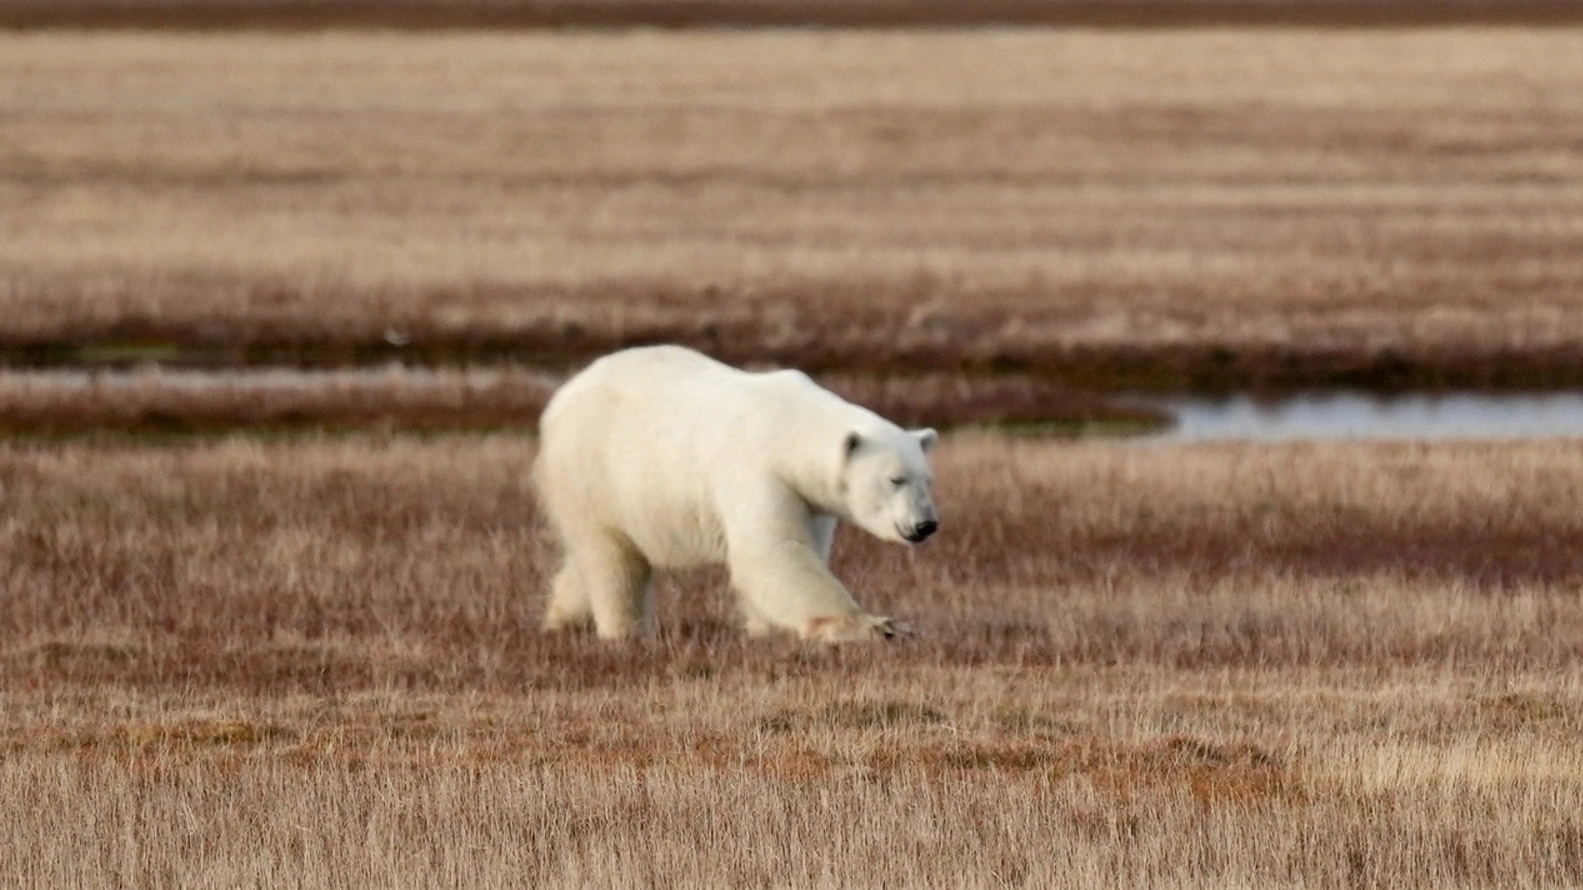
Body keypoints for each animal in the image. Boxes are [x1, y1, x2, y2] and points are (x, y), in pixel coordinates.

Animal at [538, 343, 937, 639]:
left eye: (927, 479)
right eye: (896, 479)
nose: (925, 525)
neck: (790, 429)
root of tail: (559, 400)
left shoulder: (809, 499)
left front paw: (765, 630)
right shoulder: (757, 472)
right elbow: (773, 551)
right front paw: (875, 626)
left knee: (591, 557)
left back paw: (562, 619)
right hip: (593, 471)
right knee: (612, 561)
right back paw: (625, 632)